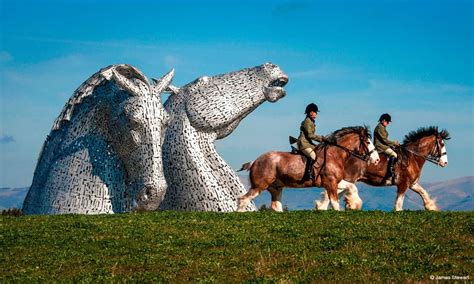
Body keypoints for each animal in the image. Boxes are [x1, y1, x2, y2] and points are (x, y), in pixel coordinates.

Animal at [239, 126, 380, 211]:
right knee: (243, 200)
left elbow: (350, 187)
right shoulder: (331, 182)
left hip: (276, 188)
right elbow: (334, 203)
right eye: (368, 142)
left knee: (276, 206)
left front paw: (353, 204)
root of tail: (255, 161)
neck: (334, 154)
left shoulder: (335, 182)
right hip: (259, 186)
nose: (377, 160)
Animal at [316, 126, 450, 211]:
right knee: (332, 192)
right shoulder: (403, 184)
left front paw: (431, 207)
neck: (412, 156)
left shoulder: (412, 184)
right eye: (442, 144)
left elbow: (424, 193)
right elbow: (399, 204)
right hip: (348, 179)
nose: (445, 163)